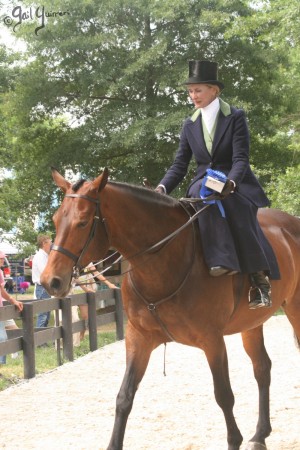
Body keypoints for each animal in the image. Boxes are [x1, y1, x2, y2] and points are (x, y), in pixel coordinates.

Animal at [41, 169, 300, 450]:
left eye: (83, 221)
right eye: (55, 219)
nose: (50, 281)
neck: (165, 263)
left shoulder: (212, 341)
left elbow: (223, 396)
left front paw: (235, 440)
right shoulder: (139, 338)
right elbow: (124, 397)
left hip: (295, 310)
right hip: (251, 324)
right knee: (262, 368)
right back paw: (260, 434)